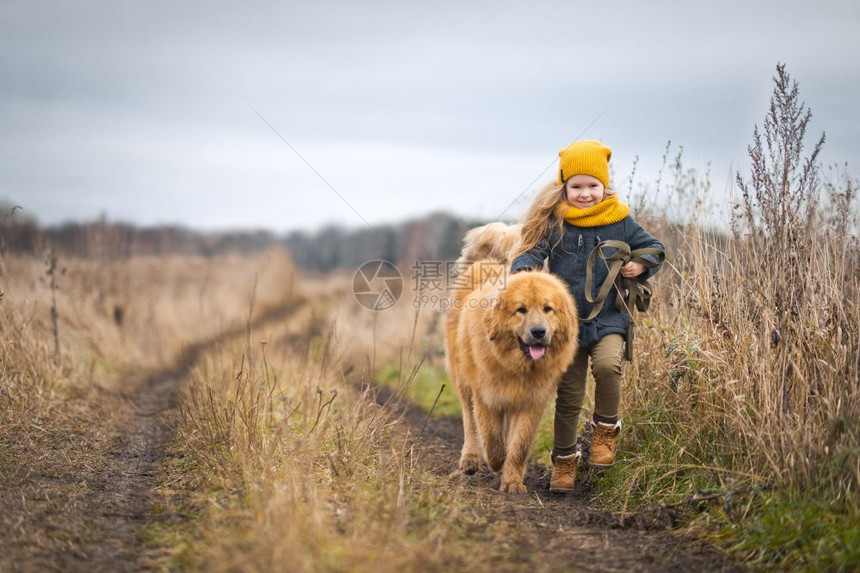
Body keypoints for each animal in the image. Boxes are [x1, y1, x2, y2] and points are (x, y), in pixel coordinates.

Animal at [444, 223, 576, 492]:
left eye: (548, 309)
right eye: (521, 310)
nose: (539, 332)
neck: (515, 365)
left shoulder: (531, 401)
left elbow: (519, 445)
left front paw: (512, 481)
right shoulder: (485, 396)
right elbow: (492, 441)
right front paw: (498, 465)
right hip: (464, 380)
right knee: (469, 421)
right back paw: (470, 460)